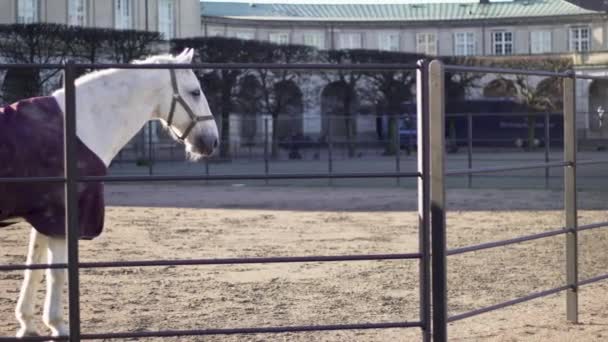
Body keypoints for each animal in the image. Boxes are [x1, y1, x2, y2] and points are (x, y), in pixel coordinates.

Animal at [10, 48, 218, 336]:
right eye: (195, 92)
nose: (212, 141)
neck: (77, 126)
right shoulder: (62, 218)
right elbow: (57, 271)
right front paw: (58, 325)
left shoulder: (44, 218)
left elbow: (34, 266)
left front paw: (27, 324)